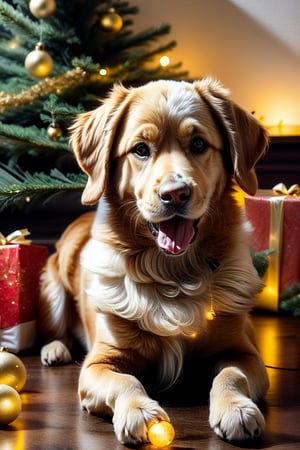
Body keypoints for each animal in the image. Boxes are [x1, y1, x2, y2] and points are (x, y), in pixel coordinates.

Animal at [38, 79, 270, 444]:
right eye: (140, 149)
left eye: (199, 143)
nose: (175, 194)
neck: (173, 275)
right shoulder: (98, 363)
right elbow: (125, 381)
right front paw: (140, 411)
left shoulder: (244, 351)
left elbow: (232, 375)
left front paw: (236, 409)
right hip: (52, 289)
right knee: (54, 330)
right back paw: (55, 350)